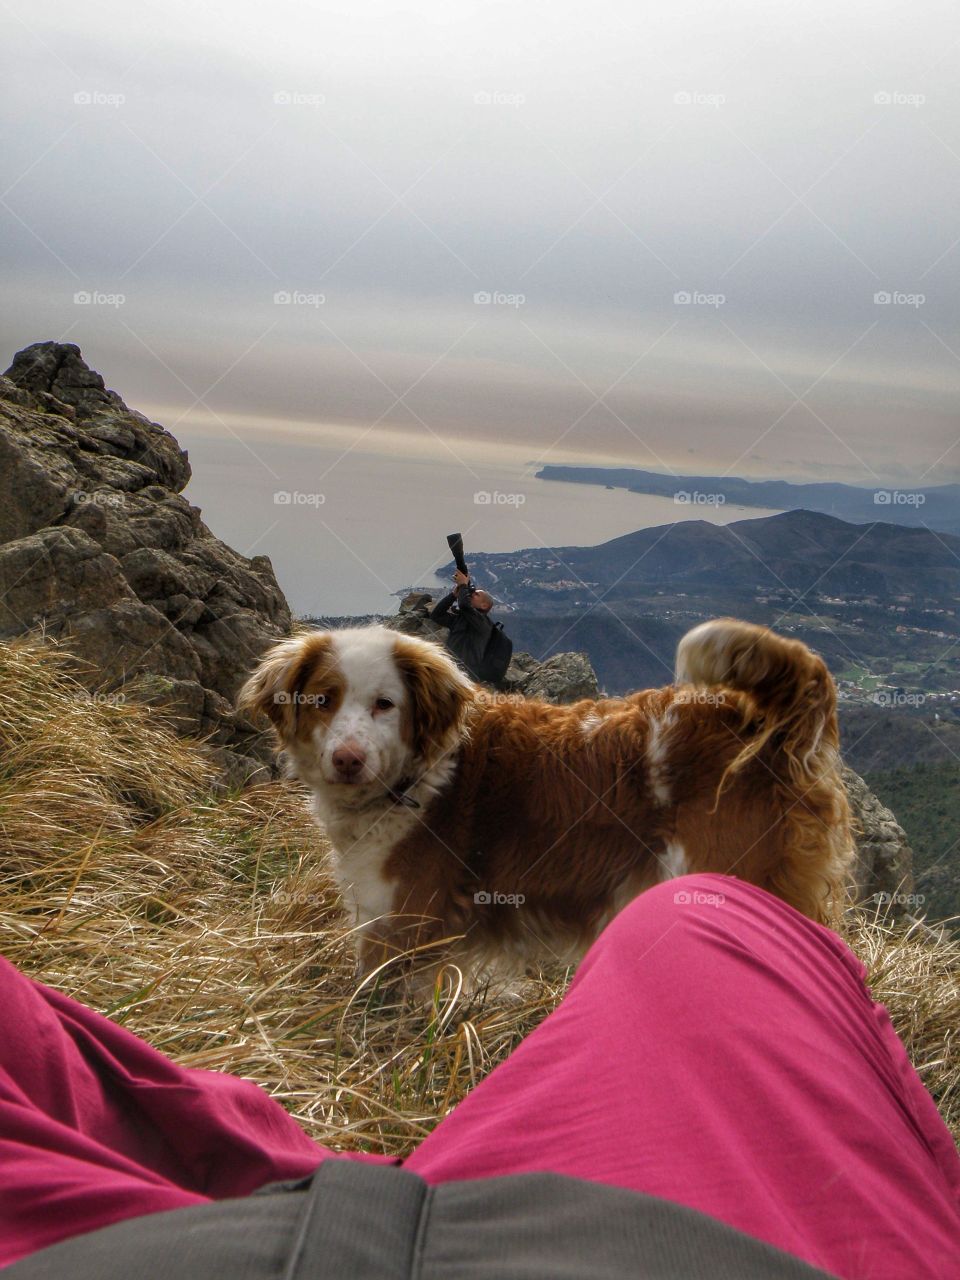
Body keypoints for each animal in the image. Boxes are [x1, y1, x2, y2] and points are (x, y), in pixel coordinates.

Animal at [240, 619, 855, 988]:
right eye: (323, 700)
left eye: (385, 705)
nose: (347, 760)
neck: (422, 775)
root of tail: (768, 727)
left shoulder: (403, 926)